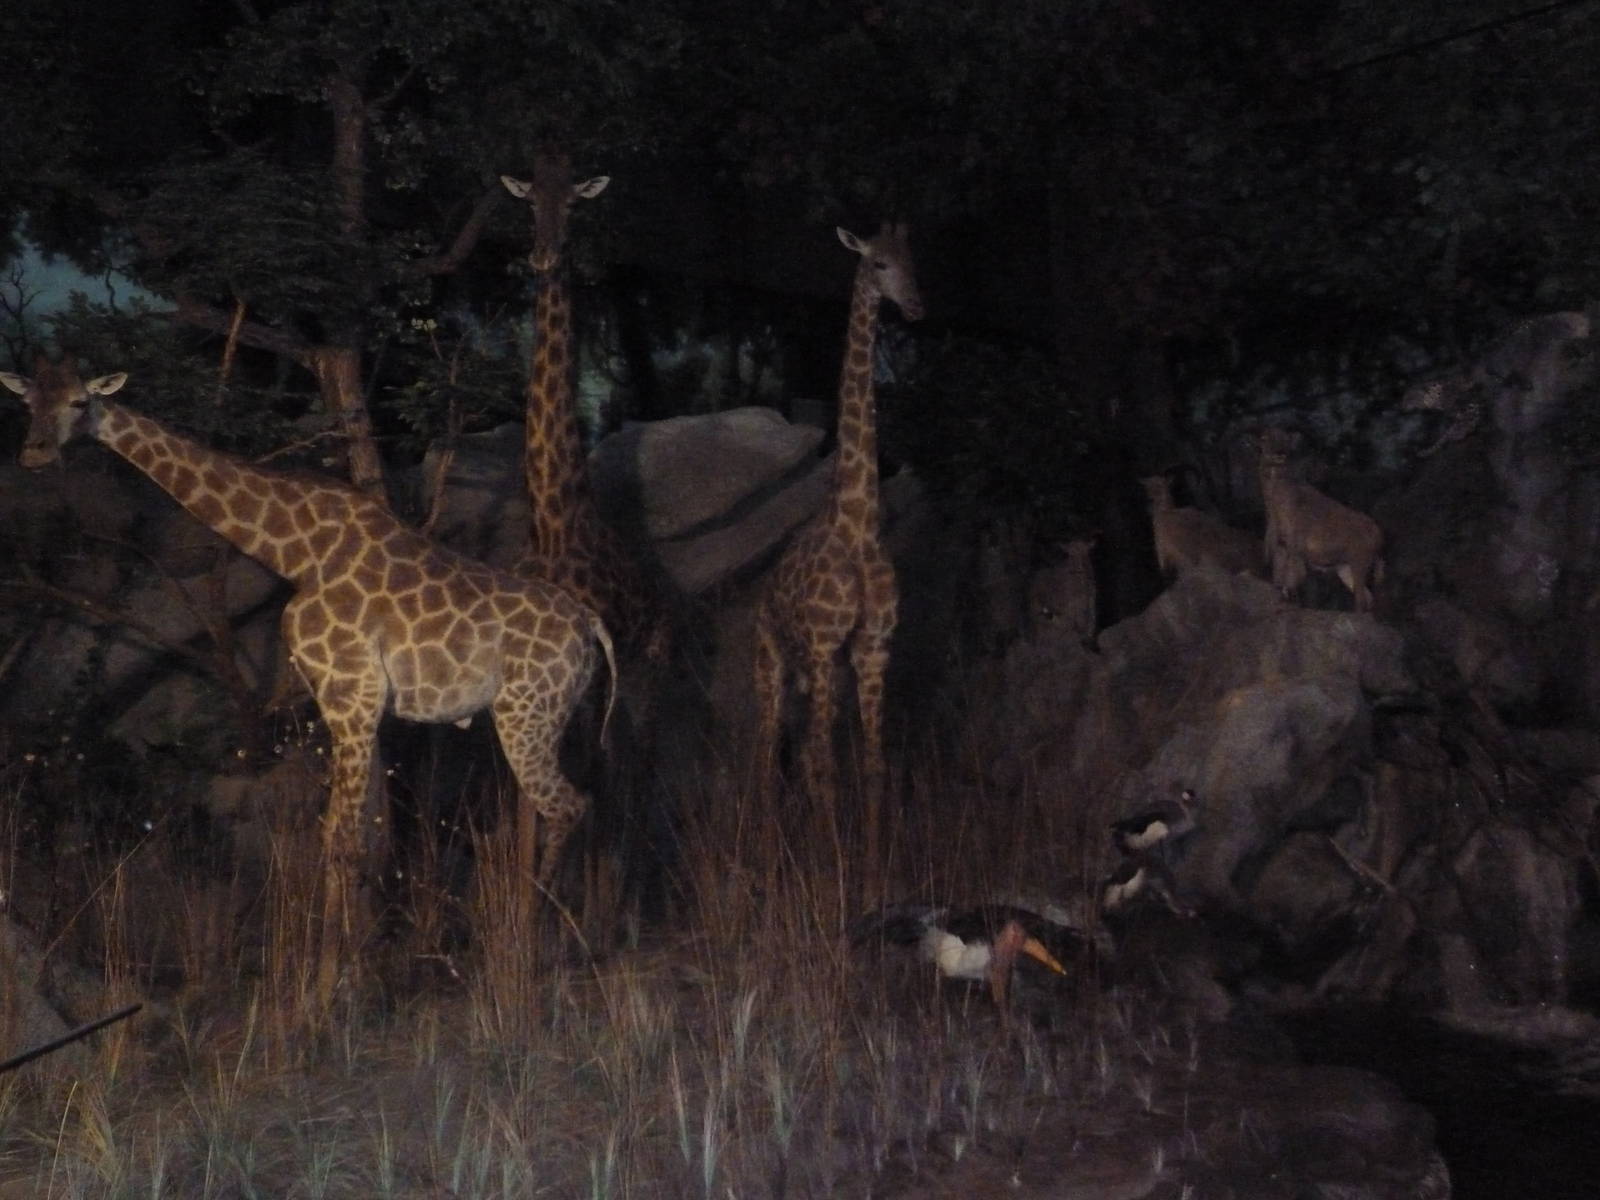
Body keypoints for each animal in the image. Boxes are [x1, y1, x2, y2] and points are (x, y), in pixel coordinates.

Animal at [2, 361, 615, 1006]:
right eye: (28, 404)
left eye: (79, 402)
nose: (33, 453)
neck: (295, 550)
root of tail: (591, 626)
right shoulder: (348, 702)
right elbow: (351, 838)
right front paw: (346, 974)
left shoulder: (352, 694)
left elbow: (338, 839)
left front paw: (327, 993)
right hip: (557, 715)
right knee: (585, 802)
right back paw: (574, 938)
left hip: (527, 714)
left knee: (567, 805)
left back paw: (529, 948)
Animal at [752, 224, 923, 853]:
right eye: (878, 264)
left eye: (914, 263)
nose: (916, 306)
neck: (859, 523)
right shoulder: (826, 647)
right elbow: (826, 765)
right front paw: (832, 868)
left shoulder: (873, 648)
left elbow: (872, 766)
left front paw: (872, 864)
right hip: (773, 666)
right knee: (766, 758)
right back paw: (766, 854)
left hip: (820, 677)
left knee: (799, 753)